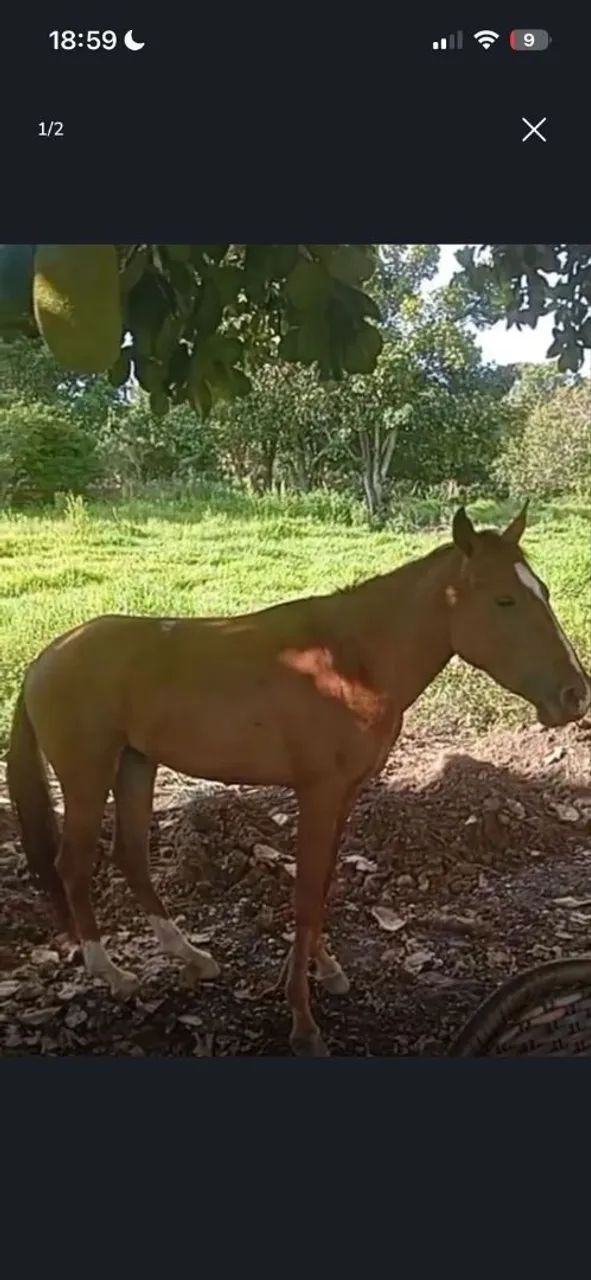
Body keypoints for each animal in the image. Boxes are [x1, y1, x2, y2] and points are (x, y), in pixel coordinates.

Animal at [6, 504, 590, 1055]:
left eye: (541, 592)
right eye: (504, 601)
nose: (575, 695)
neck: (352, 661)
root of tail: (44, 659)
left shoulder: (344, 795)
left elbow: (323, 884)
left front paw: (322, 971)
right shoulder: (318, 793)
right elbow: (307, 894)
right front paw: (303, 1023)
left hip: (135, 765)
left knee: (131, 858)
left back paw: (190, 956)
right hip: (88, 775)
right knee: (73, 864)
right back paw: (112, 974)